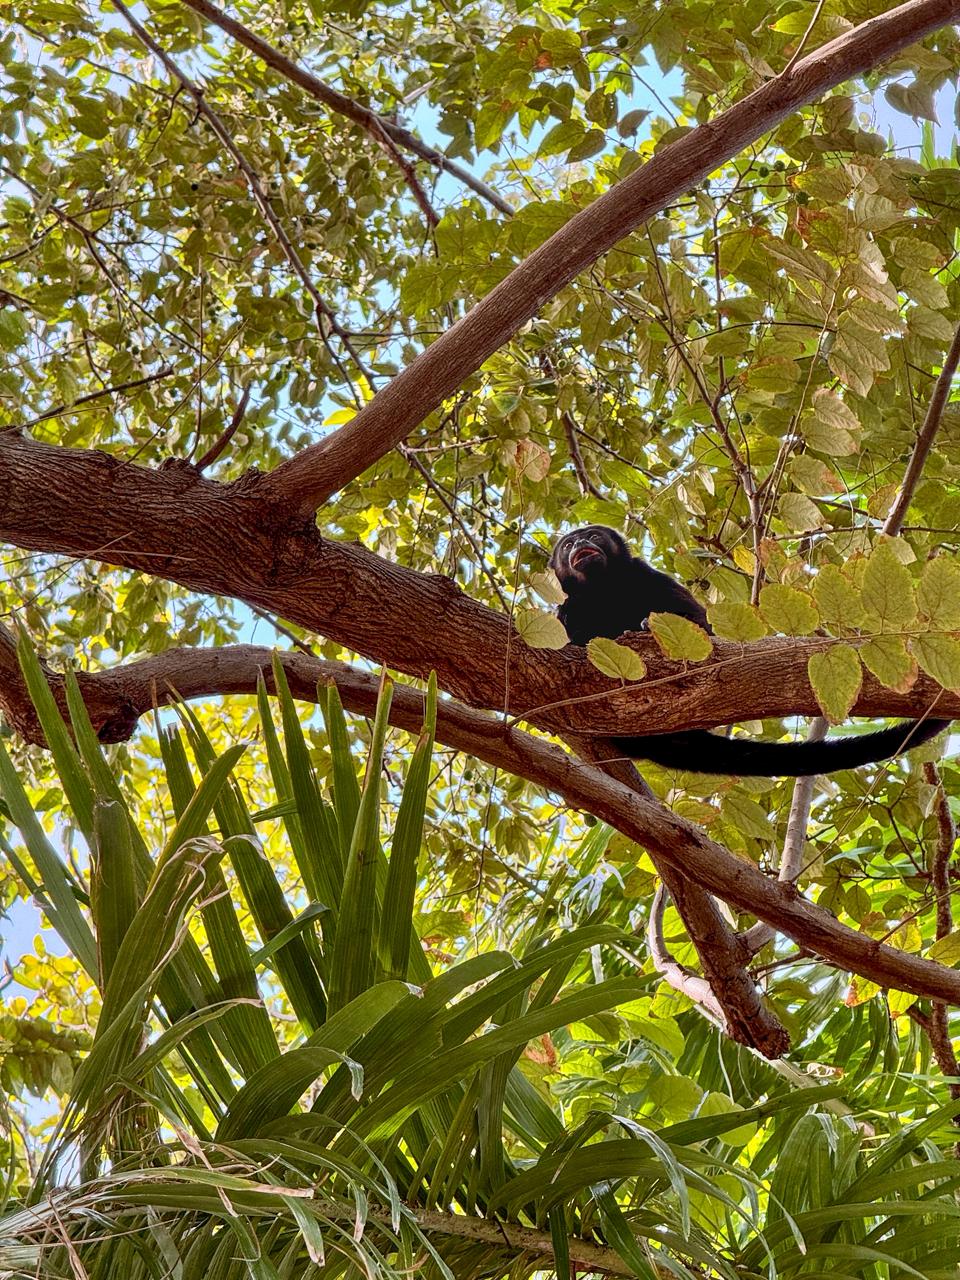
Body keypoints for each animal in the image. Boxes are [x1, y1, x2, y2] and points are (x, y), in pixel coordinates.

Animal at [549, 525, 949, 776]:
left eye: (593, 536)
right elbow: (566, 623)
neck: (605, 587)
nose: (580, 542)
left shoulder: (647, 576)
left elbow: (701, 627)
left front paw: (652, 627)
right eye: (567, 546)